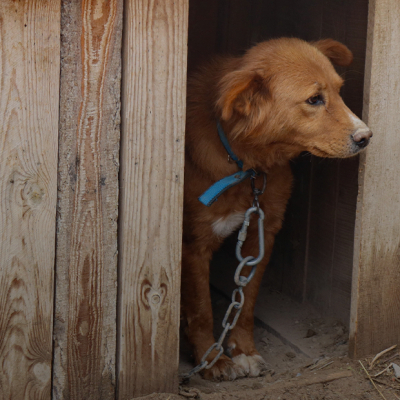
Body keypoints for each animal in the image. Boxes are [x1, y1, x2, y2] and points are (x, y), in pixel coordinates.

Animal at [183, 38, 374, 382]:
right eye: (314, 99)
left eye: (339, 91)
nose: (366, 136)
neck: (247, 164)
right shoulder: (193, 244)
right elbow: (201, 308)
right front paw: (212, 359)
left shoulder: (262, 235)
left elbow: (246, 301)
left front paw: (244, 350)